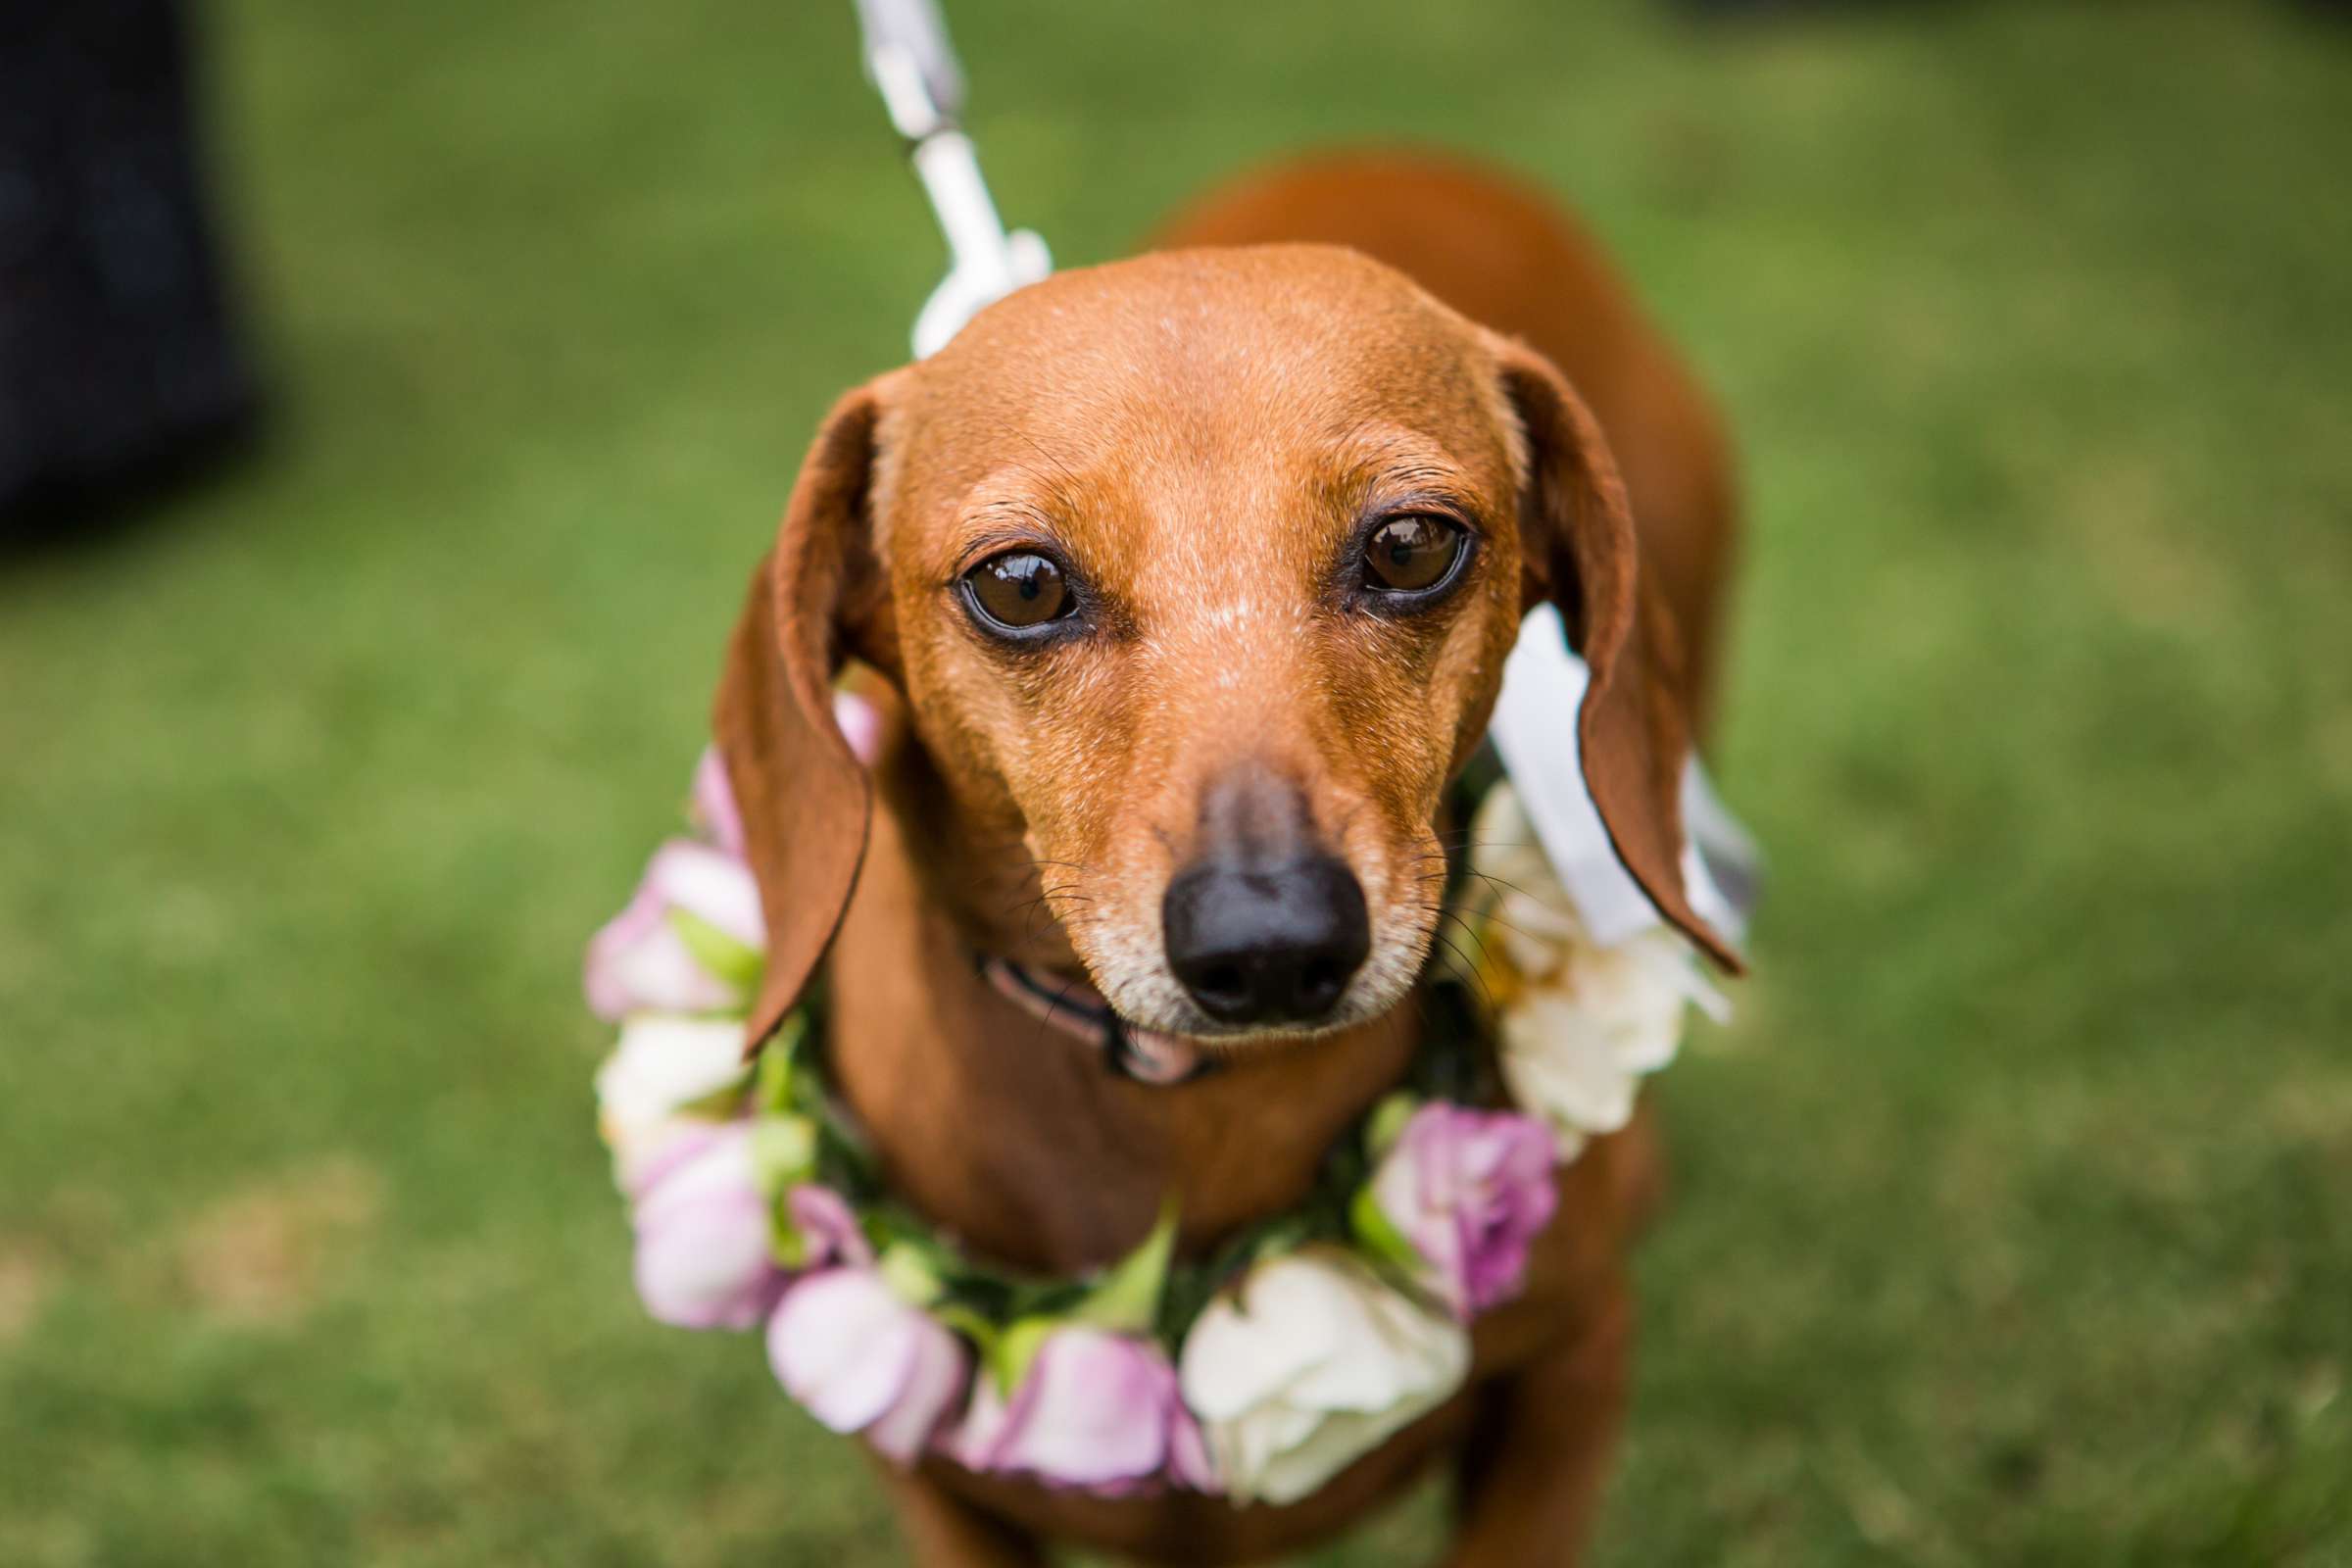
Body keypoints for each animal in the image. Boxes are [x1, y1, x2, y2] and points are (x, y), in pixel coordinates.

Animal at [714, 150, 1749, 1568]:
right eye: (1021, 583)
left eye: (1412, 544)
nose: (1268, 944)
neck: (1191, 1119)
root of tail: (1419, 159)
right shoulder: (940, 1493)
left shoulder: (1572, 1374)